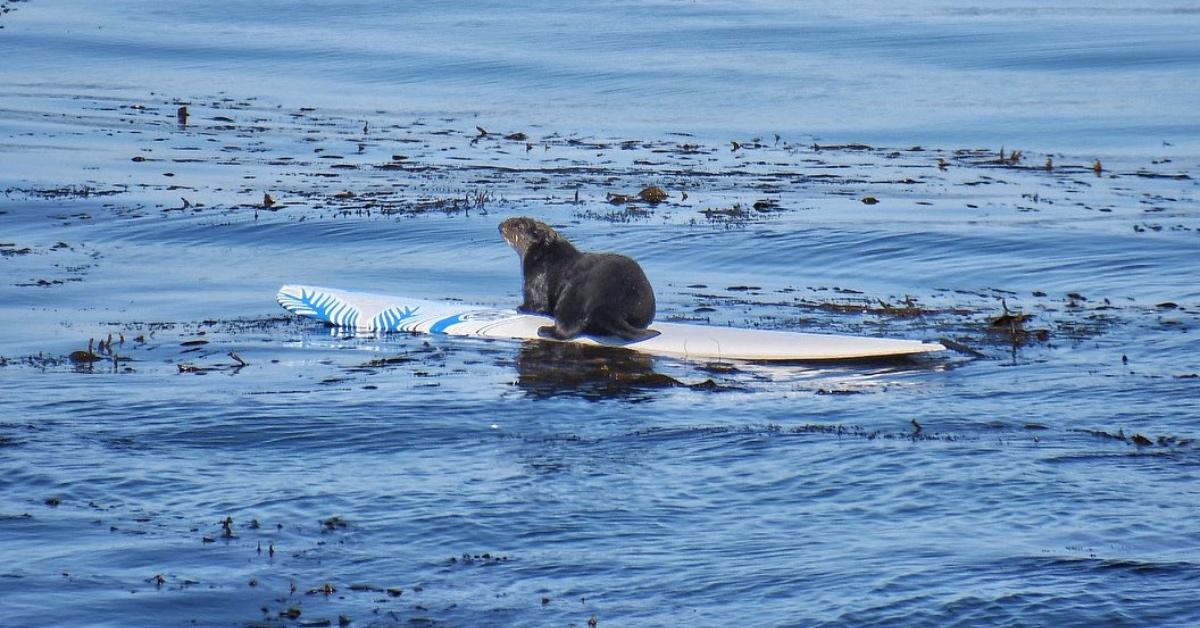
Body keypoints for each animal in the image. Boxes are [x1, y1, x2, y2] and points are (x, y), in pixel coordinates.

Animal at [501, 217, 662, 343]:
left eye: (518, 226)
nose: (502, 225)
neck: (548, 255)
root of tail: (609, 305)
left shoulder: (535, 277)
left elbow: (537, 304)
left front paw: (521, 308)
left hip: (574, 295)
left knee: (566, 328)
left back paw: (545, 329)